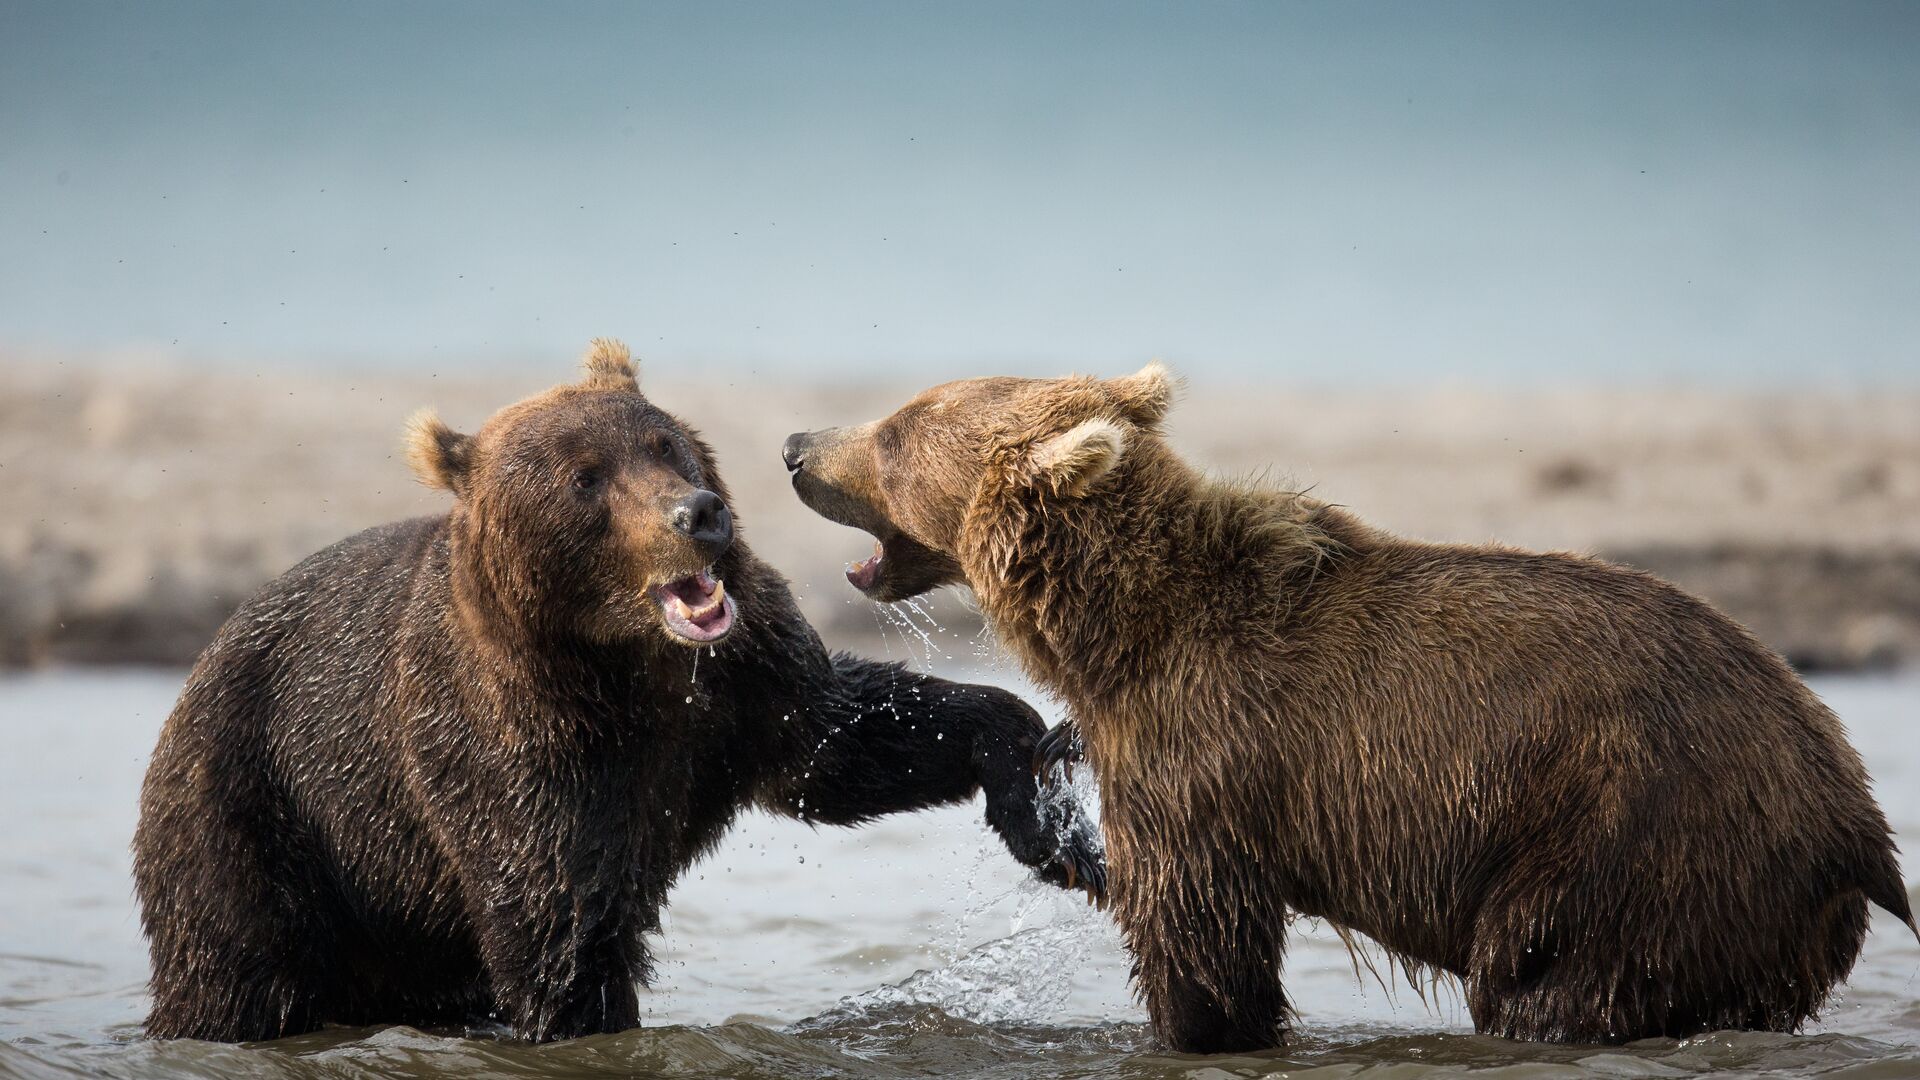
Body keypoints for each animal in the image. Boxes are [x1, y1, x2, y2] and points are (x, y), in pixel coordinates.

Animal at [131, 340, 1098, 1037]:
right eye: (585, 478)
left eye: (665, 444)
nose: (698, 513)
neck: (628, 665)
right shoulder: (513, 752)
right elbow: (561, 930)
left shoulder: (743, 688)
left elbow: (848, 740)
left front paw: (1048, 810)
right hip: (258, 824)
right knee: (243, 976)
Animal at [783, 363, 1920, 1053]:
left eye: (894, 435)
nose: (796, 444)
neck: (1118, 637)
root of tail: (1854, 814)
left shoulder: (1203, 755)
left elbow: (1201, 942)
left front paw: (1194, 1024)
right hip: (1755, 910)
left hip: (1636, 838)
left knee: (1549, 985)